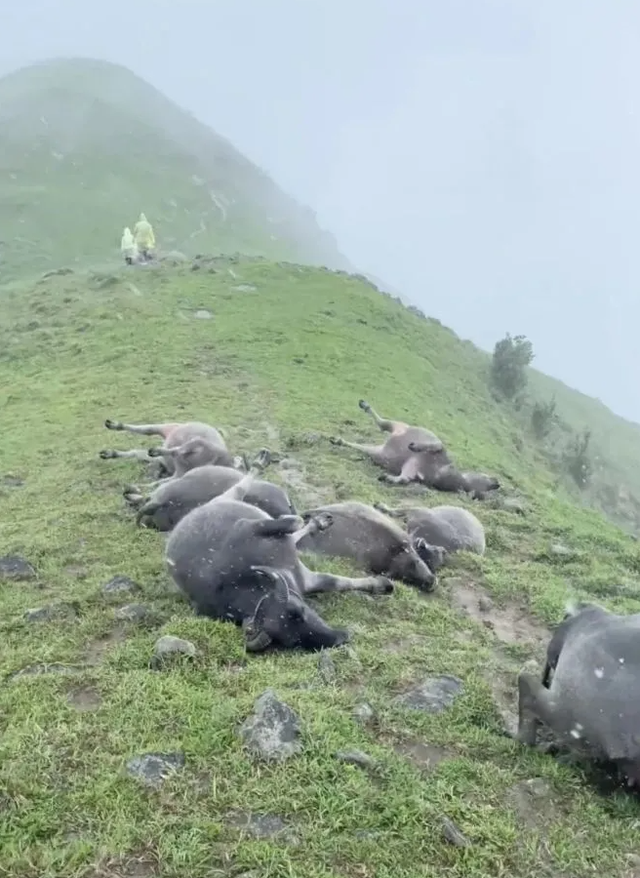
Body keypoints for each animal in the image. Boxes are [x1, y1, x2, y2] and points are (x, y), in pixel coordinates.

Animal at [164, 454, 396, 652]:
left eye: (299, 611)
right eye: (293, 641)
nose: (341, 638)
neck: (243, 577)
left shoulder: (250, 527)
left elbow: (296, 523)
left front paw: (382, 584)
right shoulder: (306, 578)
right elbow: (334, 581)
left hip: (227, 499)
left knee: (245, 489)